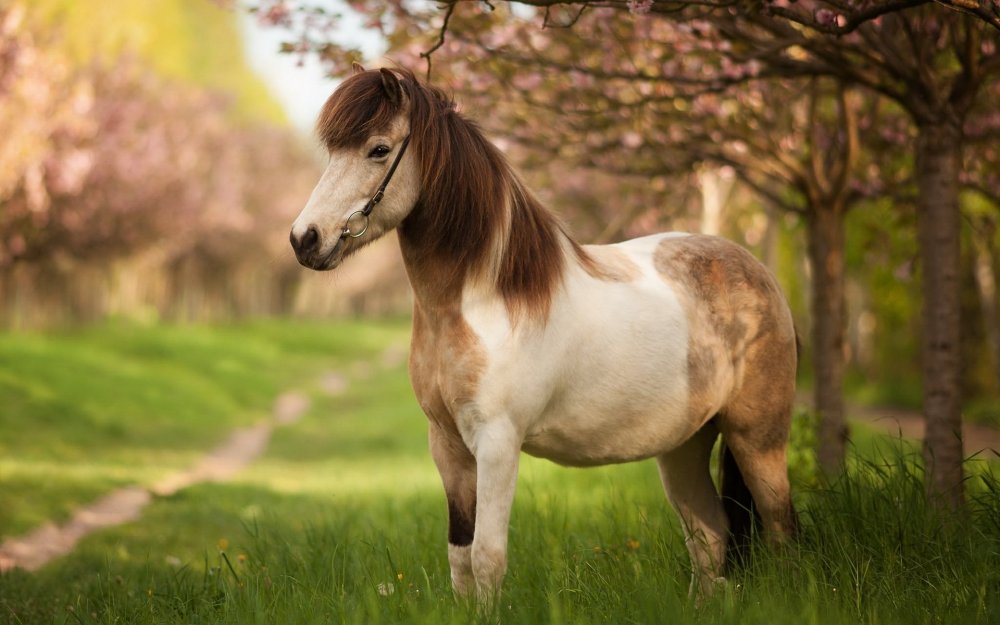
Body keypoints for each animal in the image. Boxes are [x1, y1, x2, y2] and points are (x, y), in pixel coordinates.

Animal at [290, 67, 796, 600]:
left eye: (379, 149)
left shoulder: (497, 443)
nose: (305, 239)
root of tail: (757, 273)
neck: (483, 301)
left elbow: (488, 558)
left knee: (780, 529)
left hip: (758, 439)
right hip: (685, 444)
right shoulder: (447, 446)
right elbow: (460, 560)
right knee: (709, 538)